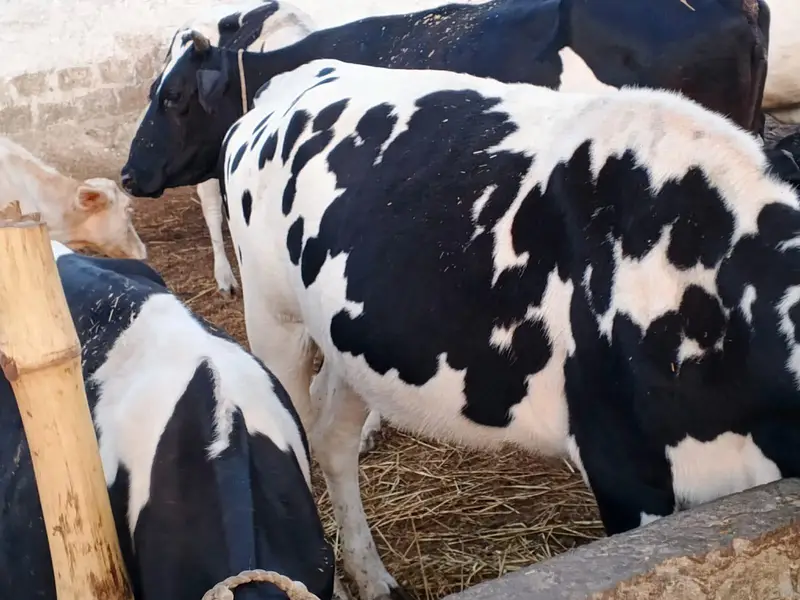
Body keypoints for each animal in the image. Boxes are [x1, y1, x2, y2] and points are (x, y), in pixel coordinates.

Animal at [179, 47, 800, 600]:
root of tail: (292, 79)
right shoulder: (624, 467)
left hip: (350, 339)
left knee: (334, 438)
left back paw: (374, 578)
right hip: (274, 319)